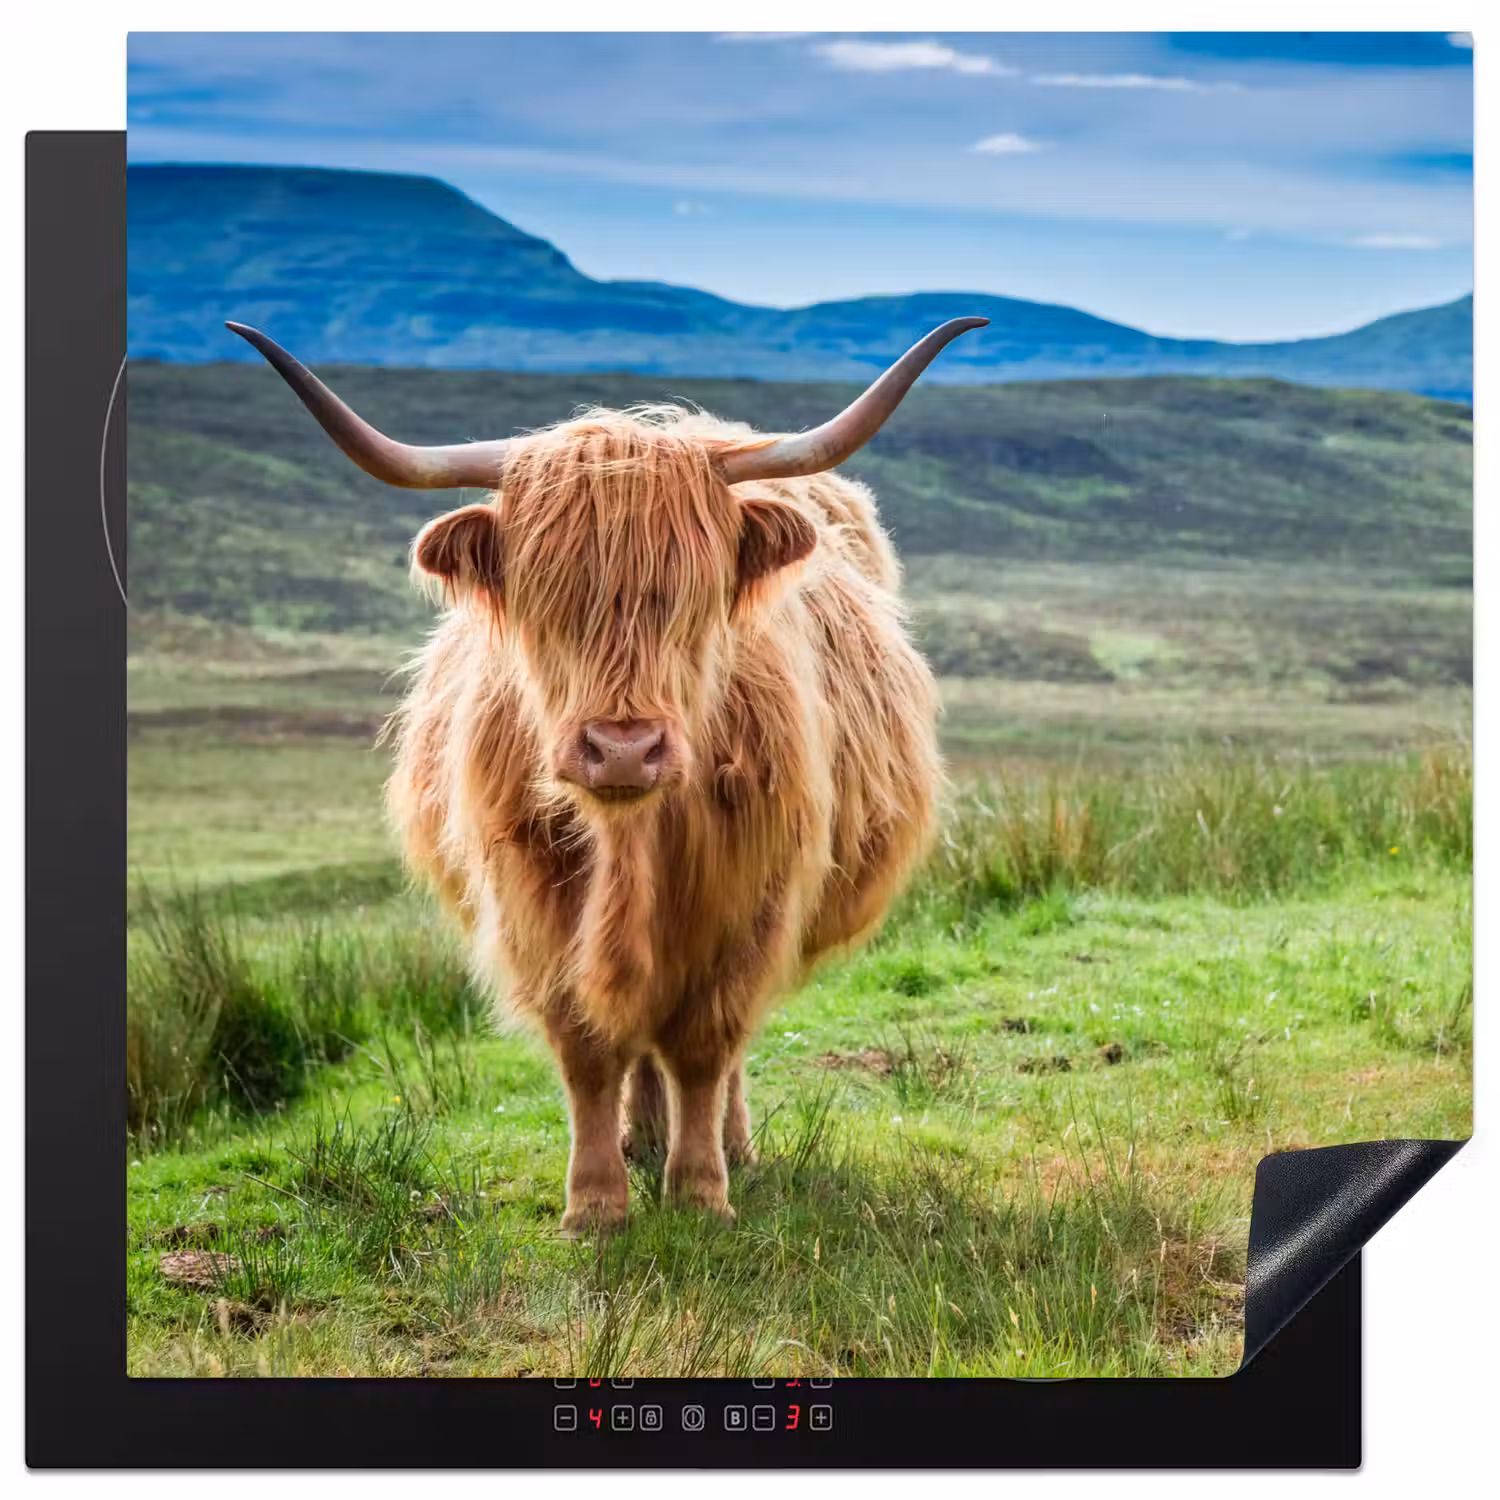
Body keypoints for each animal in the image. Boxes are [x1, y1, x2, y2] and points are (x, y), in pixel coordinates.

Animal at [227, 316, 985, 1233]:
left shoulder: (750, 901)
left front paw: (699, 1192)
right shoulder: (534, 901)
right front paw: (595, 1203)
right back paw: (640, 1137)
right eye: (546, 599)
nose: (623, 748)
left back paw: (725, 1146)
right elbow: (588, 1046)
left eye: (693, 598)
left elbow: (705, 1044)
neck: (632, 839)